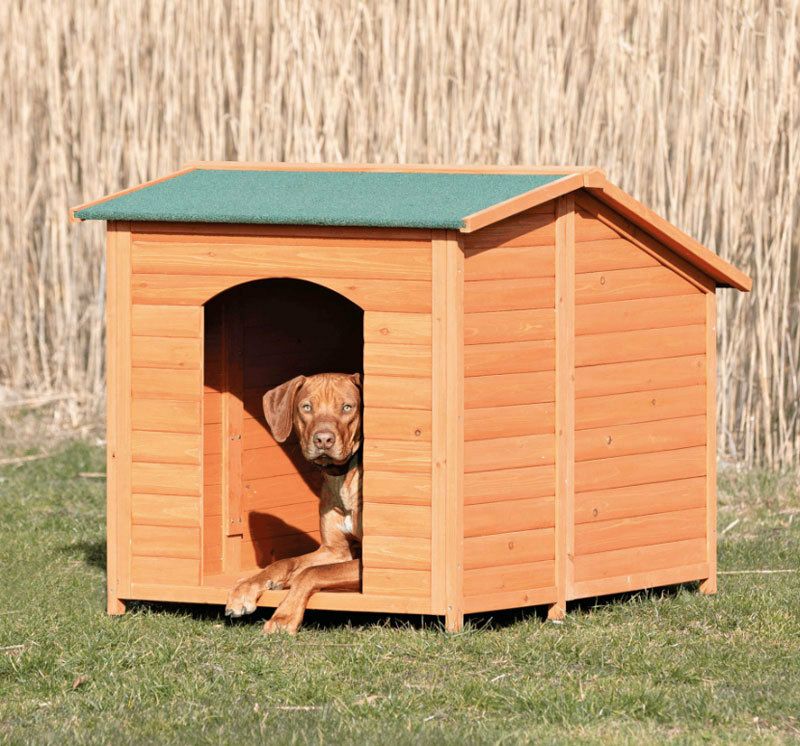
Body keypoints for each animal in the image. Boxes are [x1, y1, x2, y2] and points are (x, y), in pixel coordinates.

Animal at [225, 372, 362, 634]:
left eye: (347, 407)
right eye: (306, 407)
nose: (323, 440)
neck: (342, 477)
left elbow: (311, 573)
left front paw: (283, 616)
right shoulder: (335, 550)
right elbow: (286, 562)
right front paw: (246, 587)